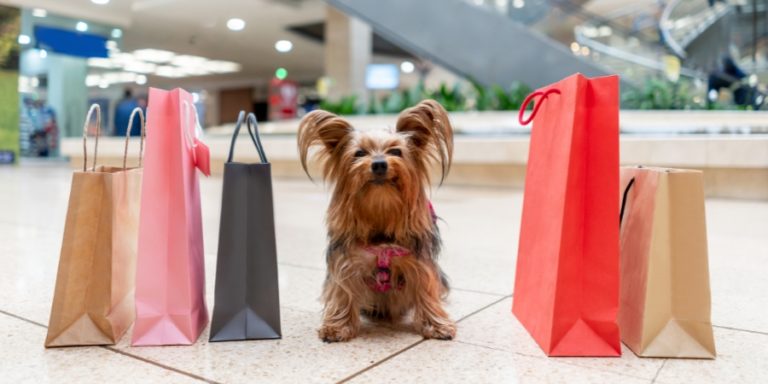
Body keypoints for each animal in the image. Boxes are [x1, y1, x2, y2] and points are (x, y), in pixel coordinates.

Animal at [298, 99, 456, 342]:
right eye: (360, 153)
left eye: (396, 151)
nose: (379, 164)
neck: (381, 208)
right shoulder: (347, 262)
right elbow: (342, 291)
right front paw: (337, 327)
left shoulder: (419, 262)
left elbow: (426, 290)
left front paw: (436, 325)